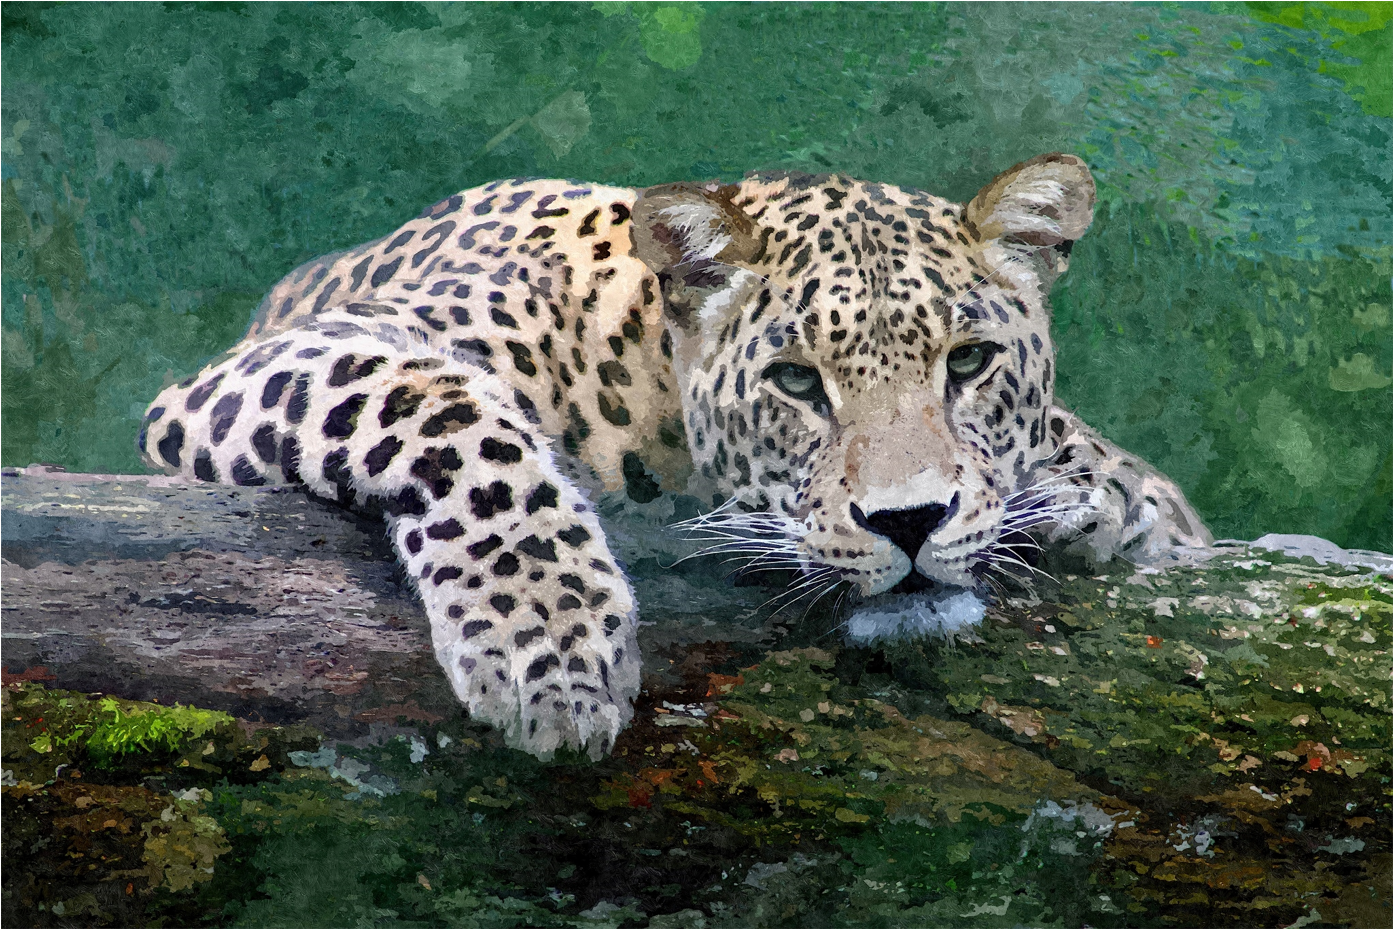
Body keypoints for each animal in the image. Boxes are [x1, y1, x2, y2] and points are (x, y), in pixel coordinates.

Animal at [139, 152, 1211, 760]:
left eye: (971, 362)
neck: (644, 380)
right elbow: (454, 419)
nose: (909, 522)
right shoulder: (291, 358)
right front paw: (551, 650)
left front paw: (1103, 496)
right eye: (796, 382)